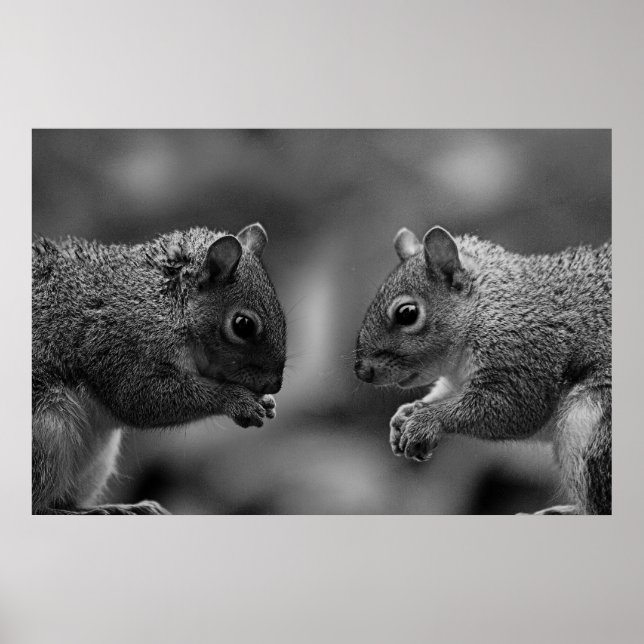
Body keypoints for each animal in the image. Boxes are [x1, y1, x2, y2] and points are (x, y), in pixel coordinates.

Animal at [32, 223, 286, 515]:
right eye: (243, 325)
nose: (274, 384)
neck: (164, 303)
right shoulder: (122, 345)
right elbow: (139, 398)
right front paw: (238, 401)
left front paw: (267, 402)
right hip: (46, 433)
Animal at [354, 225, 611, 515]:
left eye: (407, 313)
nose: (361, 371)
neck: (487, 306)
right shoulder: (457, 380)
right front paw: (404, 415)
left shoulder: (524, 353)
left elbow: (515, 407)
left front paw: (426, 421)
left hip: (592, 421)